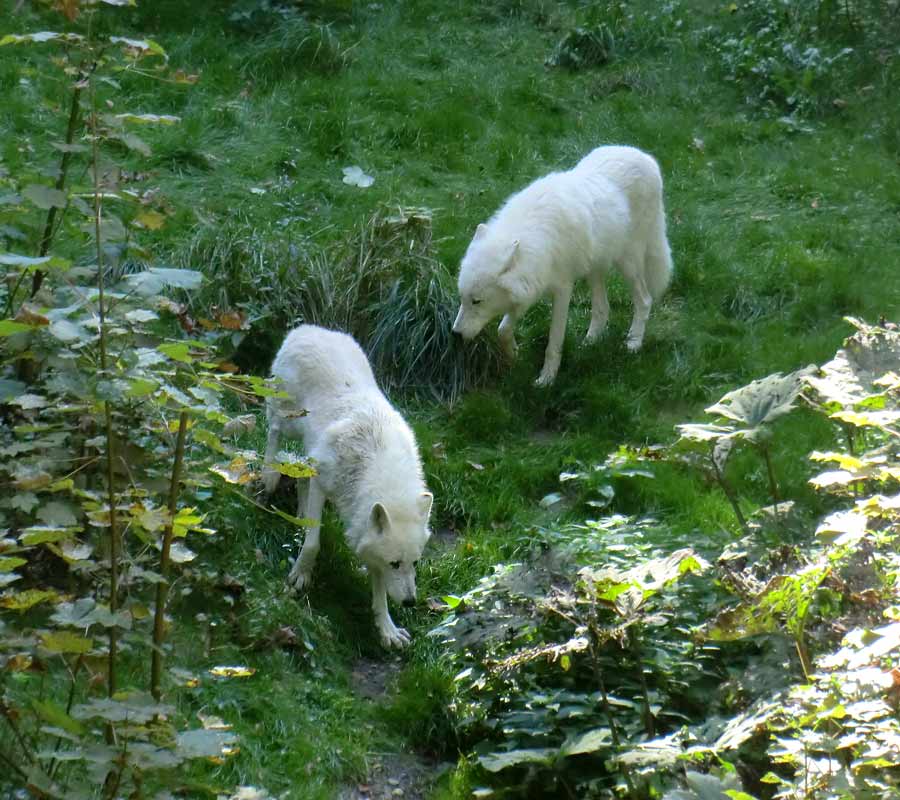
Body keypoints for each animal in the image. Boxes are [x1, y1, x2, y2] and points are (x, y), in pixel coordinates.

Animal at [262, 324, 434, 648]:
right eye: (395, 564)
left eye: (414, 563)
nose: (410, 602)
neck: (376, 466)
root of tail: (307, 329)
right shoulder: (322, 482)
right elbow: (314, 543)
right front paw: (300, 576)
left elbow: (379, 592)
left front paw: (387, 629)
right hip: (288, 420)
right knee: (273, 430)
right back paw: (267, 475)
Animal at [454, 145, 672, 388]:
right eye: (462, 298)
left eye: (477, 301)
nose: (455, 334)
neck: (536, 239)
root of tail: (647, 157)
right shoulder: (529, 288)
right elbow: (503, 329)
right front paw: (513, 355)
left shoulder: (563, 290)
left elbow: (554, 343)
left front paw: (546, 380)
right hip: (595, 267)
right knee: (602, 307)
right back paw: (590, 342)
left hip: (628, 263)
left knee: (644, 300)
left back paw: (633, 342)